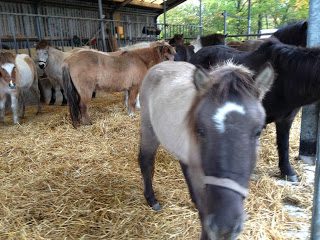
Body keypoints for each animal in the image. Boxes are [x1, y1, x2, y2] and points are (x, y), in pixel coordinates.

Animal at [139, 61, 276, 239]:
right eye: (201, 130)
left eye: (258, 131)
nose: (225, 226)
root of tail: (159, 65)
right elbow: (204, 214)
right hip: (149, 130)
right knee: (146, 162)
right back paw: (151, 199)